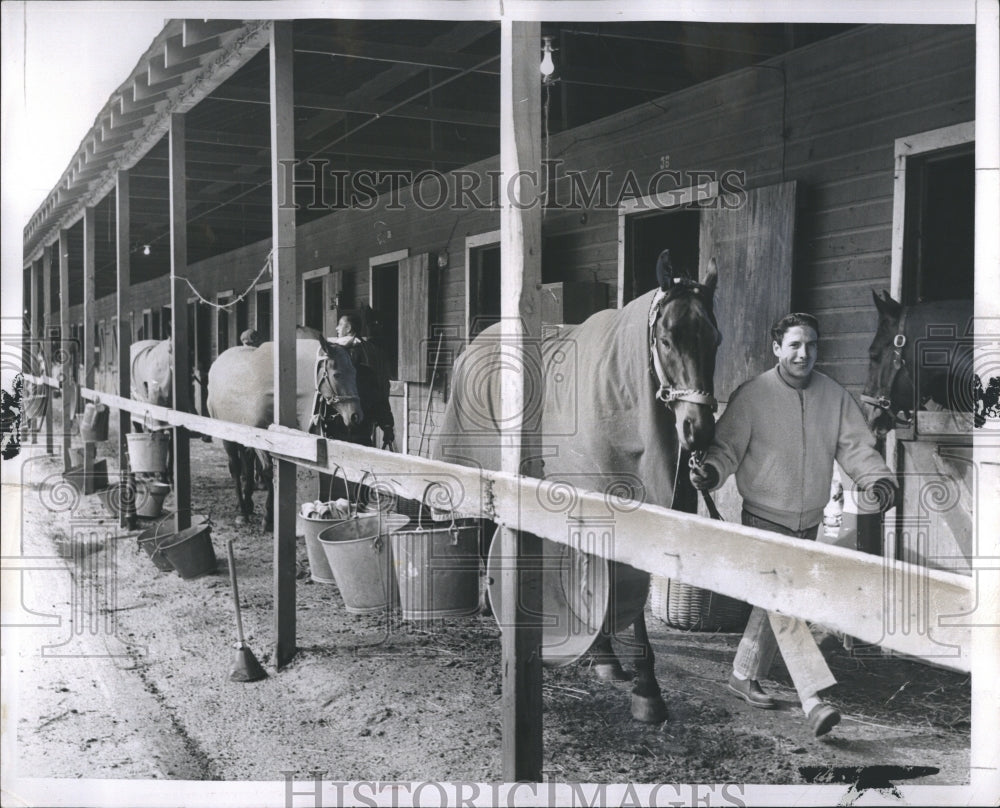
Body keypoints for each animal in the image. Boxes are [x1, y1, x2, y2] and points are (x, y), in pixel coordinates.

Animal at [434, 249, 724, 724]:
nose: (697, 431)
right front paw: (641, 684)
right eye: (666, 339)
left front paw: (619, 664)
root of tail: (476, 344)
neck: (622, 395)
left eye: (714, 340)